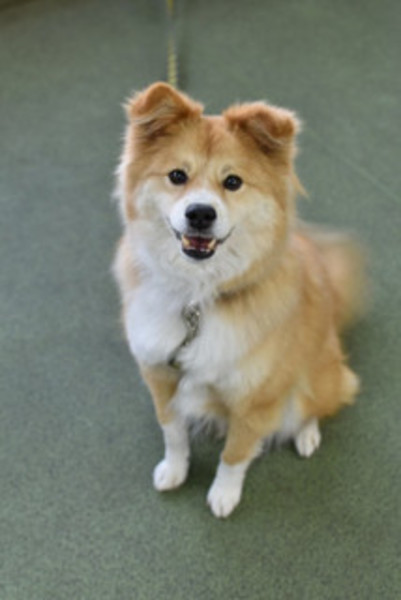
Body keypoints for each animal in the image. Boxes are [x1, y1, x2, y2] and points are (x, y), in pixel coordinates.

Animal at [113, 82, 363, 518]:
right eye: (177, 176)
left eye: (232, 182)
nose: (200, 213)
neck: (197, 299)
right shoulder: (160, 374)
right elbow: (173, 431)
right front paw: (174, 470)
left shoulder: (256, 399)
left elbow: (235, 454)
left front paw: (224, 495)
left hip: (316, 377)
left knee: (314, 405)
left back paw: (307, 435)